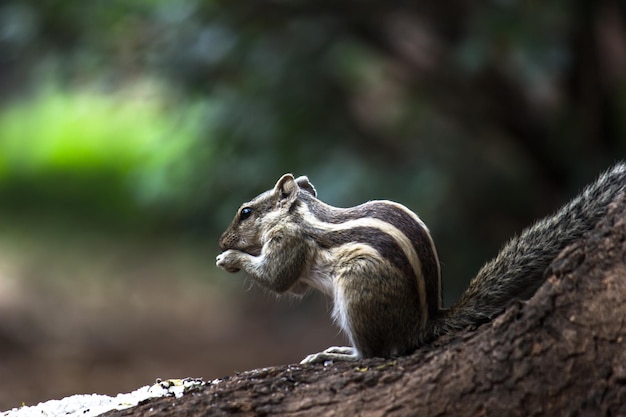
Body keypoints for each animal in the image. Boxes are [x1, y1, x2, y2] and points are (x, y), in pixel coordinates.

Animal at [216, 164, 624, 362]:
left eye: (246, 212)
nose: (221, 241)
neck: (302, 214)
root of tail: (424, 324)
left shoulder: (291, 242)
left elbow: (277, 279)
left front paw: (229, 258)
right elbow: (294, 285)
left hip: (358, 291)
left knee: (376, 354)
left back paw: (339, 355)